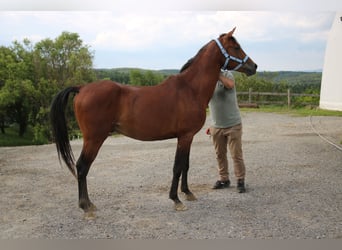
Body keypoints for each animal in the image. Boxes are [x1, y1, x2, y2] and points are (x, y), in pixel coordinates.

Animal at [49, 27, 255, 217]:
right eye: (236, 47)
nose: (254, 66)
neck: (190, 89)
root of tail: (82, 88)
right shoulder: (185, 137)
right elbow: (177, 167)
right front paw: (176, 199)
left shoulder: (187, 137)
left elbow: (185, 166)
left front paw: (187, 192)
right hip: (94, 139)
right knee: (82, 167)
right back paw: (86, 206)